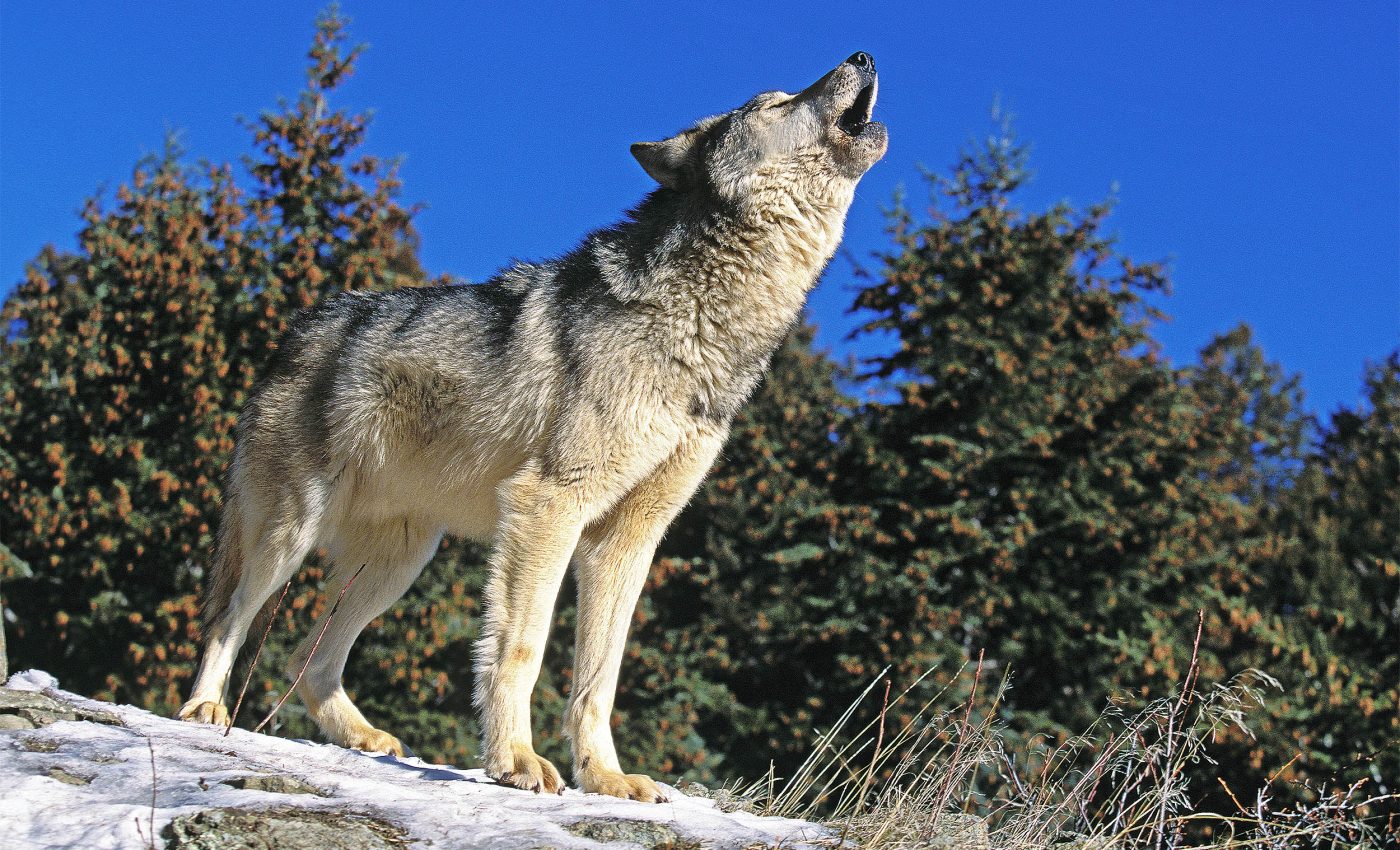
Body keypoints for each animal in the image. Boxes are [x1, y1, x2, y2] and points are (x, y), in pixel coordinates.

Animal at [178, 52, 886, 801]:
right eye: (774, 103)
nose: (863, 56)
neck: (702, 325)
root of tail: (296, 330)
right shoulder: (548, 505)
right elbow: (520, 648)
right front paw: (514, 761)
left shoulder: (626, 541)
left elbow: (598, 680)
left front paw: (605, 778)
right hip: (291, 532)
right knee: (228, 618)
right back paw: (205, 709)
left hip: (399, 563)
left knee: (304, 660)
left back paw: (366, 738)